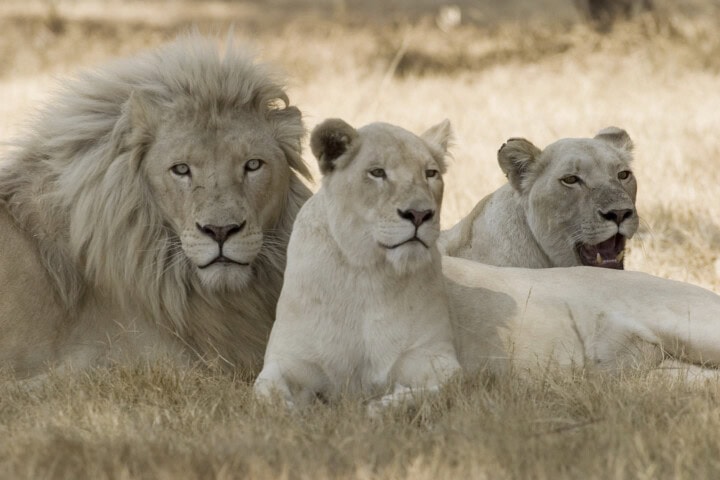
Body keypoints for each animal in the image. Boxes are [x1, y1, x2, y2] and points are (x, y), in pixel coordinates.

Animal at [254, 118, 461, 409]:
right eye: (377, 172)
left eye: (430, 173)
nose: (420, 214)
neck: (368, 272)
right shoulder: (290, 358)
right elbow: (265, 392)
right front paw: (292, 410)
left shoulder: (432, 354)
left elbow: (446, 388)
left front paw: (384, 406)